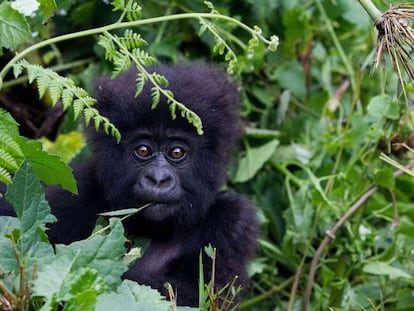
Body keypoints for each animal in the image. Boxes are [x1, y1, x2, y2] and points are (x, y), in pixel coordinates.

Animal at [7, 63, 258, 308]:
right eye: (143, 150)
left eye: (177, 152)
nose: (158, 179)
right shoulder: (74, 192)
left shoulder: (235, 221)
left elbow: (195, 294)